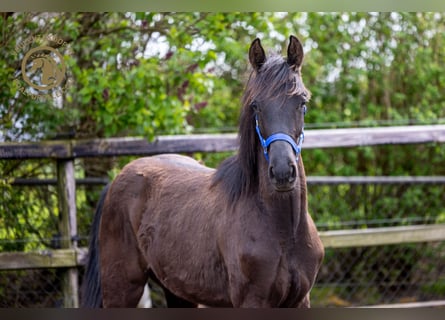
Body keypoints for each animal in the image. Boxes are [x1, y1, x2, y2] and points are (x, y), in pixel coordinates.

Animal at [81, 35, 322, 308]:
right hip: (121, 288)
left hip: (177, 291)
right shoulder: (251, 300)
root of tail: (116, 180)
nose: (282, 172)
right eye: (256, 106)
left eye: (302, 102)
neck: (285, 232)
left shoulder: (300, 300)